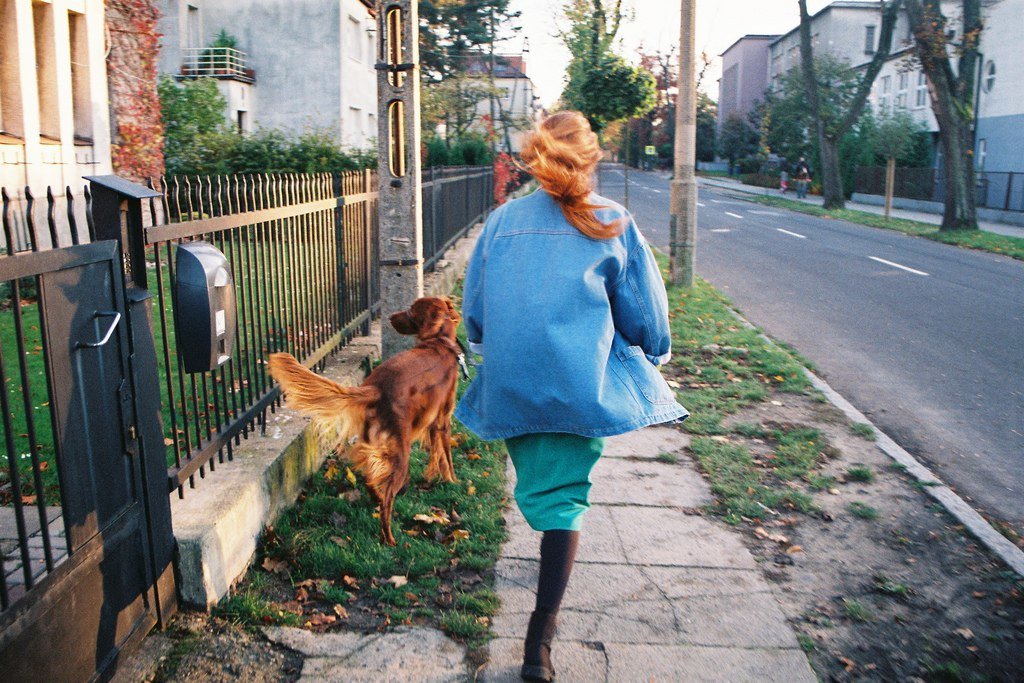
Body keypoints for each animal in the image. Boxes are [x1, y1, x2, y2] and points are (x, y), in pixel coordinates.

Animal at [267, 297, 463, 546]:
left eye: (410, 311)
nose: (390, 317)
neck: (440, 342)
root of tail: (375, 388)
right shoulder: (443, 421)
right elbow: (447, 457)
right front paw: (453, 482)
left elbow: (436, 455)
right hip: (400, 451)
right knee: (387, 499)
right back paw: (390, 539)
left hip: (375, 442)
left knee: (370, 477)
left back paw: (377, 499)